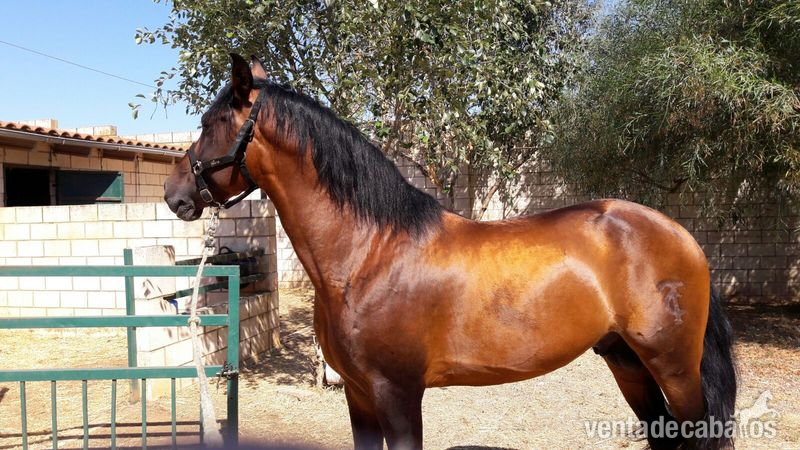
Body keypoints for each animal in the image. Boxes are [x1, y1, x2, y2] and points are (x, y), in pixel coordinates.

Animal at [164, 54, 737, 450]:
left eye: (210, 125)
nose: (174, 195)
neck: (368, 256)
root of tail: (679, 235)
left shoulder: (397, 394)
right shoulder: (357, 394)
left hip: (674, 366)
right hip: (626, 360)